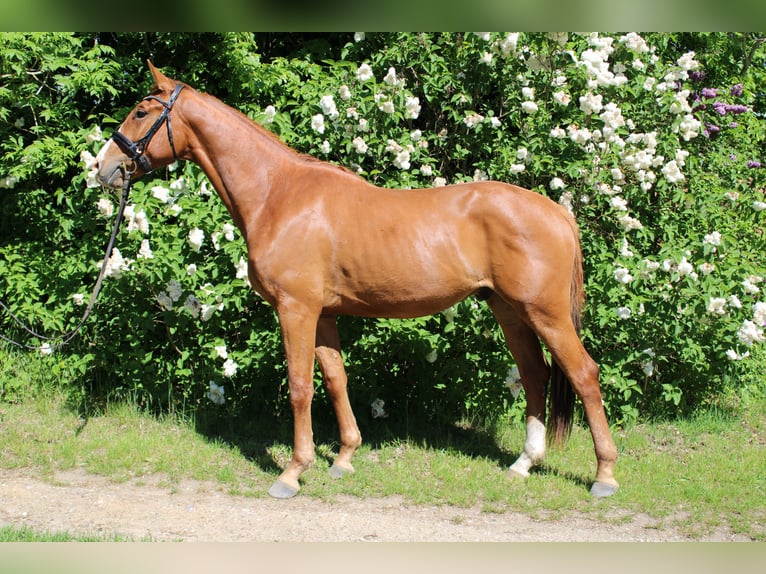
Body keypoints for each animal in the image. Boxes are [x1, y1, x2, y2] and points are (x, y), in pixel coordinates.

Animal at [95, 61, 619, 499]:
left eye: (142, 111)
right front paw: (344, 458)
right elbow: (335, 379)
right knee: (535, 375)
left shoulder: (296, 309)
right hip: (509, 310)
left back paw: (604, 476)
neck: (278, 195)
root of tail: (557, 212)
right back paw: (523, 464)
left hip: (546, 313)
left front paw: (292, 472)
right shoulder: (323, 313)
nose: (104, 168)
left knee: (584, 374)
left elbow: (300, 385)